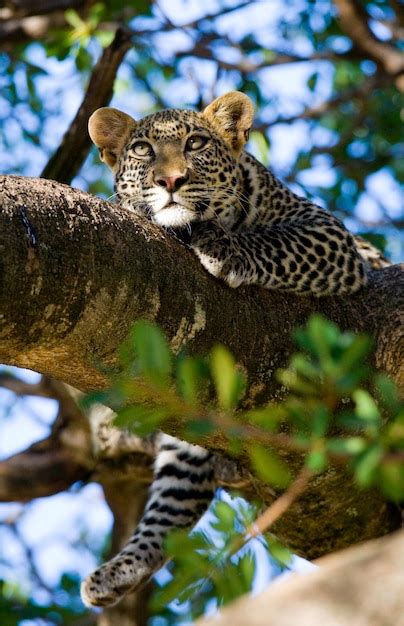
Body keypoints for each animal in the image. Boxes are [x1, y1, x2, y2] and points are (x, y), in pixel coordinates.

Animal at [80, 91, 384, 604]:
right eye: (142, 150)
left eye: (196, 143)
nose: (170, 181)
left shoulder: (332, 237)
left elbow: (275, 243)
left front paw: (224, 247)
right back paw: (119, 570)